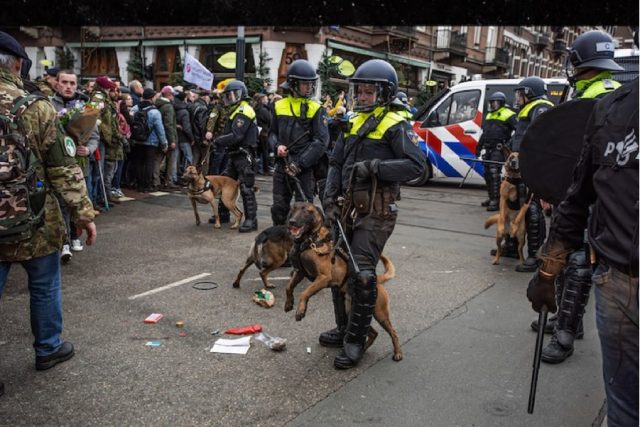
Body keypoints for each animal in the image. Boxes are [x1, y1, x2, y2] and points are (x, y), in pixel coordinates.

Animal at [284, 202, 402, 362]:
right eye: (293, 209)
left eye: (307, 211)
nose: (292, 222)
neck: (309, 241)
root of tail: (377, 281)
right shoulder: (299, 272)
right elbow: (288, 287)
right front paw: (289, 303)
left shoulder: (323, 277)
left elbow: (305, 292)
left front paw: (300, 310)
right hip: (351, 309)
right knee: (371, 332)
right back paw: (359, 350)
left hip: (380, 313)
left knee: (393, 332)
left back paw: (397, 353)